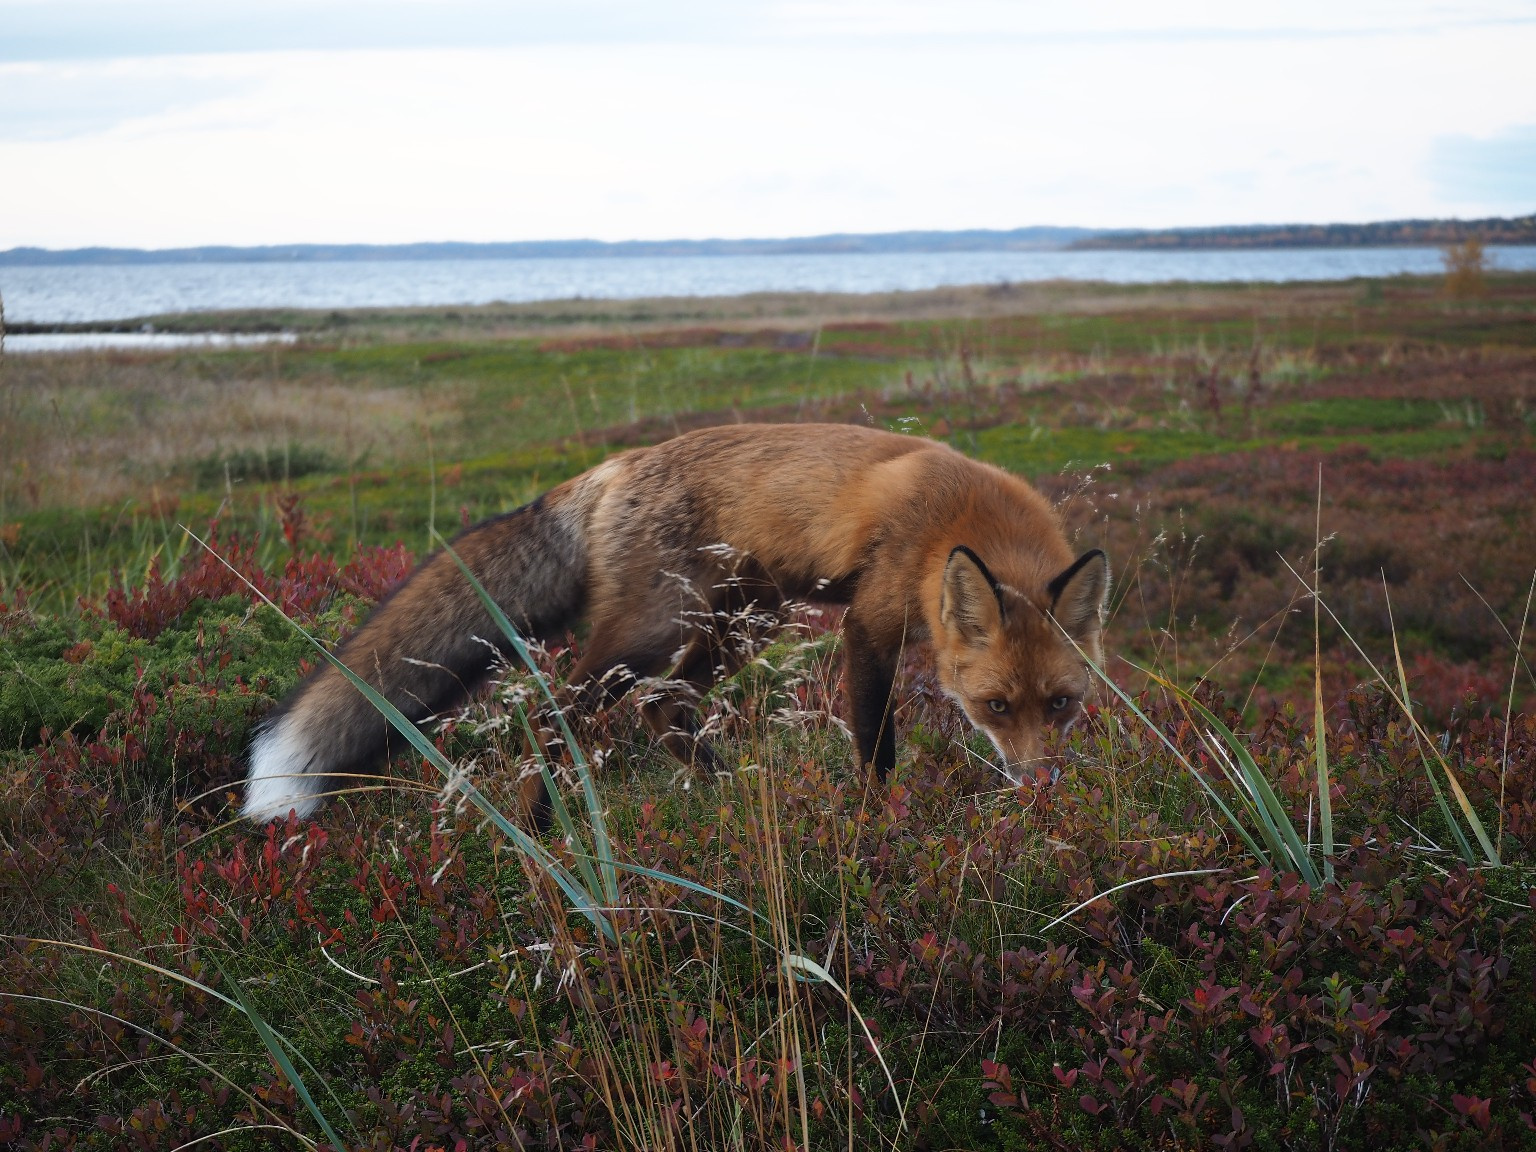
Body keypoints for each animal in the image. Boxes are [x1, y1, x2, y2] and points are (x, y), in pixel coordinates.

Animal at [242, 430, 1105, 823]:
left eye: (1060, 705)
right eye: (995, 707)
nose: (1038, 787)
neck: (960, 522)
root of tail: (609, 467)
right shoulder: (870, 623)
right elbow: (876, 746)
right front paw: (872, 825)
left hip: (744, 621)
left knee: (663, 706)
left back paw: (723, 793)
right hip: (649, 635)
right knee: (557, 713)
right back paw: (547, 824)